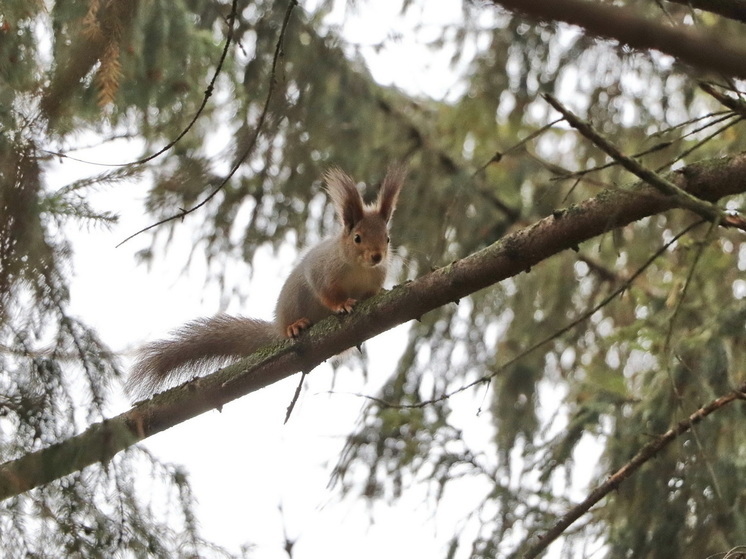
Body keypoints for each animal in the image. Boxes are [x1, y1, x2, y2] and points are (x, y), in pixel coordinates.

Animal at [128, 164, 406, 400]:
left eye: (387, 238)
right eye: (357, 238)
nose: (377, 256)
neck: (359, 268)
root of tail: (278, 327)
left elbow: (372, 290)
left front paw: (376, 294)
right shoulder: (323, 271)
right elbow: (327, 292)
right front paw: (342, 304)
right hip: (293, 300)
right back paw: (295, 326)